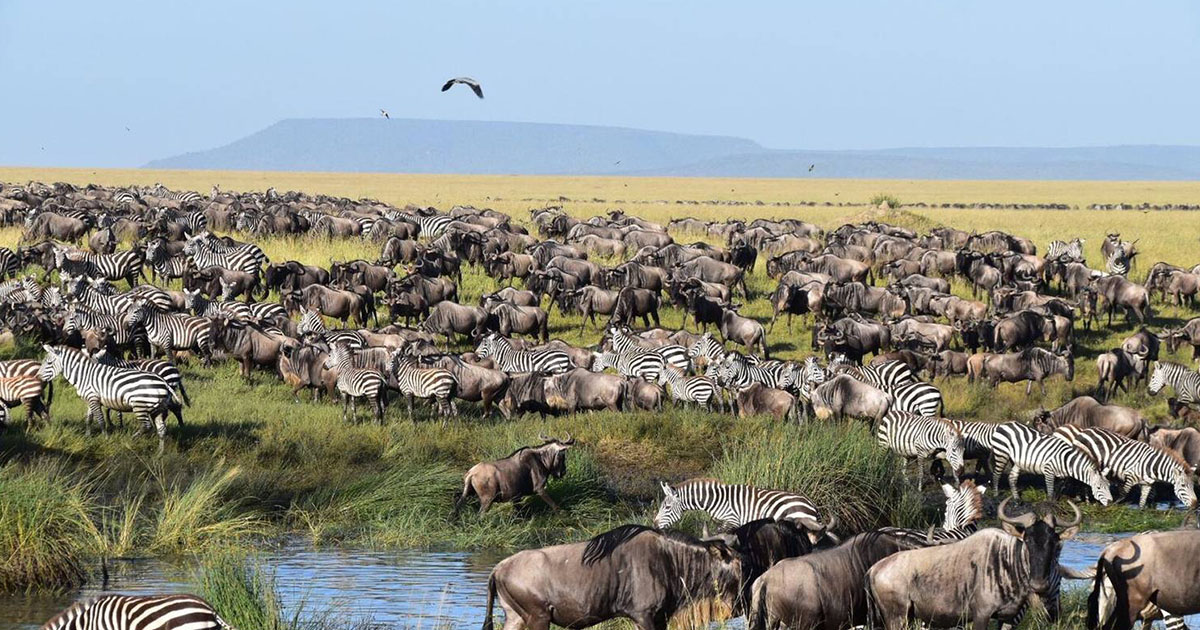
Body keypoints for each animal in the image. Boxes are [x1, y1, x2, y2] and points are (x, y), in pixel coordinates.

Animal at [39, 343, 180, 446]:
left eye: (49, 363)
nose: (38, 377)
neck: (84, 375)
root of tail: (163, 381)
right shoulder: (91, 399)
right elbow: (89, 418)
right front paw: (88, 436)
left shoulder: (93, 399)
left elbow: (101, 420)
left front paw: (105, 438)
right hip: (158, 408)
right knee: (161, 429)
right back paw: (160, 453)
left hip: (140, 406)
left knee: (146, 426)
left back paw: (131, 439)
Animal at [1056, 422, 1195, 506]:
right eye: (1183, 485)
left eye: (1193, 486)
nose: (1195, 504)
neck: (1150, 465)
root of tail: (1085, 431)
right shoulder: (1130, 476)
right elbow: (1123, 493)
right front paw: (1115, 505)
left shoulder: (1147, 484)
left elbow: (1143, 501)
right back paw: (1085, 500)